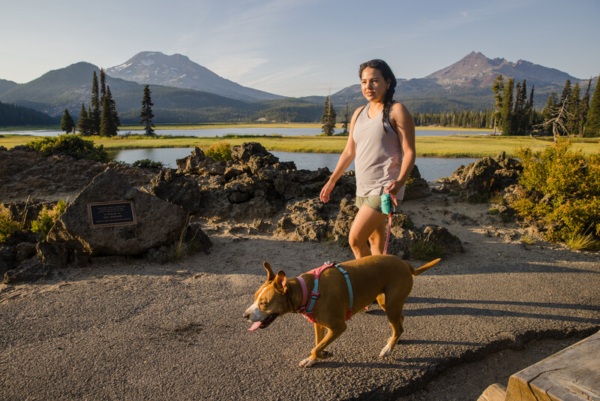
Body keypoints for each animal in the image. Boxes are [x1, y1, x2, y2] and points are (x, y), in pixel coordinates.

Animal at [244, 253, 440, 366]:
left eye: (264, 303)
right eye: (255, 298)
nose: (245, 315)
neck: (307, 290)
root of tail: (405, 263)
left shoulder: (338, 327)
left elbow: (316, 348)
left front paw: (324, 355)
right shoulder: (318, 325)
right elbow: (317, 344)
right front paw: (313, 359)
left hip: (391, 305)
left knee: (398, 325)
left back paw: (388, 349)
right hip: (386, 302)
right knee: (400, 323)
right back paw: (394, 340)